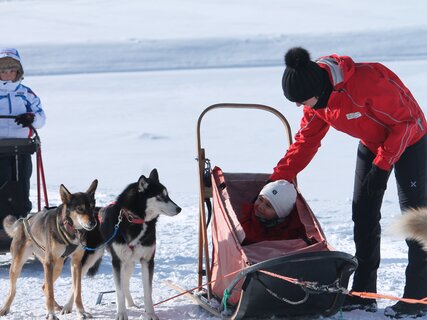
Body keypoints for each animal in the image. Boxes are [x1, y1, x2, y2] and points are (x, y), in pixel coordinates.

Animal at [0, 180, 98, 320]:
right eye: (80, 209)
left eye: (92, 207)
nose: (93, 223)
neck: (70, 229)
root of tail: (22, 221)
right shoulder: (49, 262)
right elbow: (51, 292)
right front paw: (51, 314)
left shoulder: (76, 263)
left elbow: (77, 291)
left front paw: (81, 312)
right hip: (19, 265)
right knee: (13, 290)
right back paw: (5, 308)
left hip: (57, 266)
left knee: (44, 286)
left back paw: (56, 306)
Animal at [65, 169, 182, 320]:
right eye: (161, 196)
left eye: (167, 195)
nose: (179, 209)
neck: (135, 221)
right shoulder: (117, 262)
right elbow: (119, 291)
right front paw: (121, 314)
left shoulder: (147, 261)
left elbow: (147, 292)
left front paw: (150, 314)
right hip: (88, 260)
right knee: (75, 284)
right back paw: (67, 307)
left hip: (129, 263)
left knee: (126, 283)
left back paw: (131, 304)